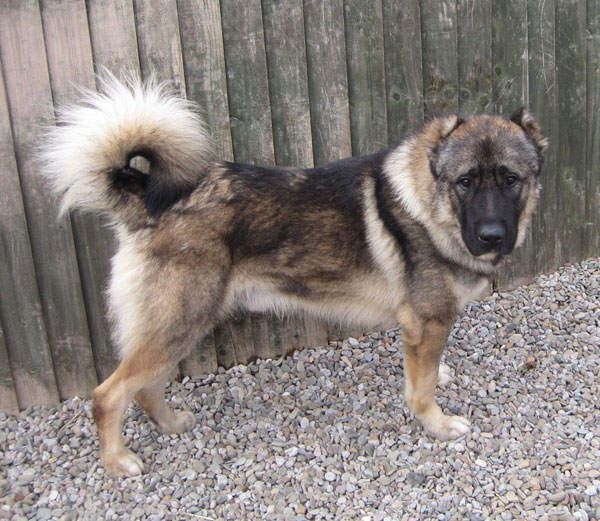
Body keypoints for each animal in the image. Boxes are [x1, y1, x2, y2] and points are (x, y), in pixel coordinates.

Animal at [41, 75, 548, 478]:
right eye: (465, 181)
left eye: (511, 179)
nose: (491, 236)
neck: (429, 206)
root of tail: (148, 195)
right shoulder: (426, 323)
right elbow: (419, 391)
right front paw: (437, 424)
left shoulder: (427, 329)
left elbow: (424, 372)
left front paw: (437, 378)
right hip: (178, 322)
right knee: (108, 394)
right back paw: (116, 461)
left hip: (179, 326)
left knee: (144, 388)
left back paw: (171, 425)